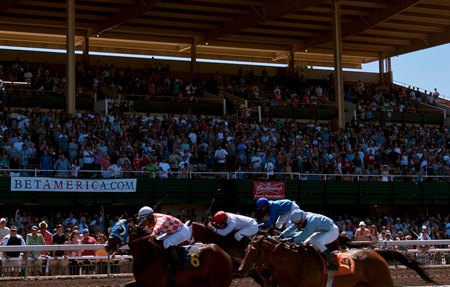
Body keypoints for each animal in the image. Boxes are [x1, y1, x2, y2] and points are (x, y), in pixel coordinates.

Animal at [239, 236, 436, 287]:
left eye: (253, 250)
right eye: (246, 249)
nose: (241, 269)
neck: (294, 264)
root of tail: (376, 253)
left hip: (382, 282)